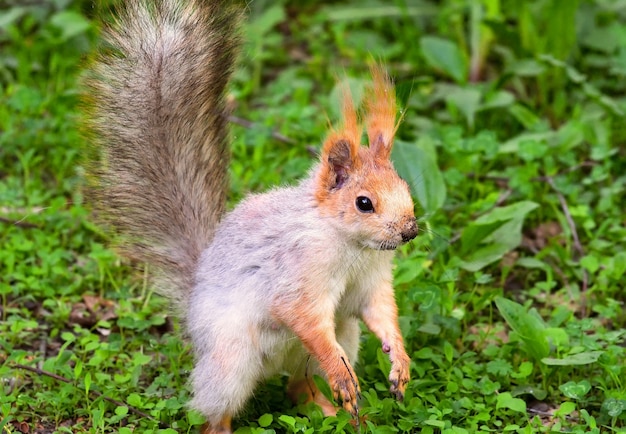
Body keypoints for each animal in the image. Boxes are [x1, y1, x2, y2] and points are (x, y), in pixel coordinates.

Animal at [83, 0, 414, 430]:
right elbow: (303, 319)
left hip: (341, 336)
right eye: (363, 203)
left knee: (298, 387)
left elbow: (380, 313)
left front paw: (400, 362)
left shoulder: (371, 282)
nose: (409, 231)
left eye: (405, 185)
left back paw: (333, 411)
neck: (350, 245)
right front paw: (343, 375)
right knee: (216, 411)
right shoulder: (298, 275)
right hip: (231, 362)